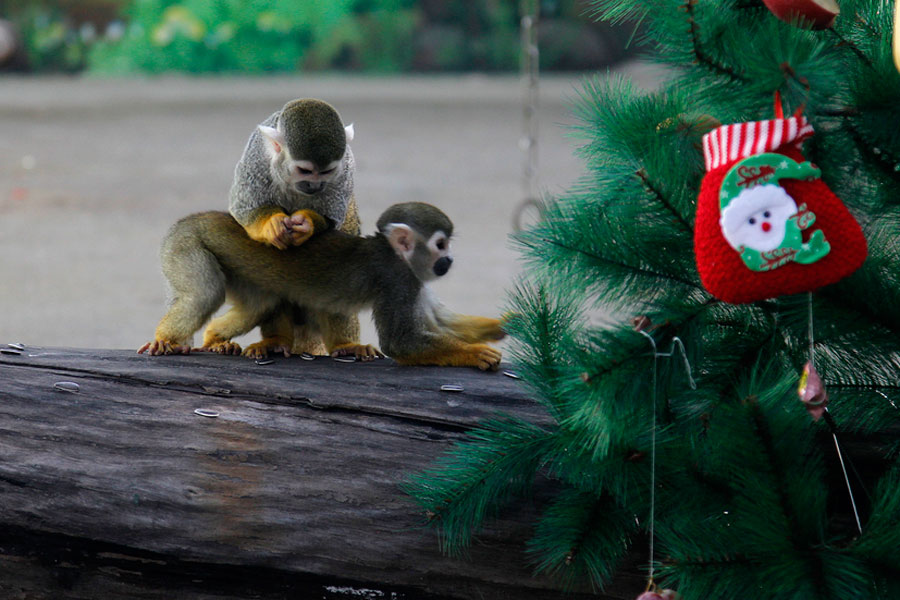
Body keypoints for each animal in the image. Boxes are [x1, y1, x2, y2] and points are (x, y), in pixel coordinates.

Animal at [138, 202, 506, 371]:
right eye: (441, 245)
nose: (449, 260)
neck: (397, 256)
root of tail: (193, 218)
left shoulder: (413, 278)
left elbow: (440, 320)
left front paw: (505, 324)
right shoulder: (397, 278)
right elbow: (401, 342)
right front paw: (475, 354)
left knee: (258, 304)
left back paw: (216, 338)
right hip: (185, 244)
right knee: (204, 295)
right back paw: (166, 340)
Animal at [229, 98, 362, 356]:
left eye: (327, 171)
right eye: (305, 171)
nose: (315, 186)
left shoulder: (346, 168)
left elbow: (332, 216)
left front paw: (307, 225)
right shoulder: (256, 159)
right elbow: (244, 209)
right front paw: (270, 225)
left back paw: (345, 344)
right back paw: (276, 340)